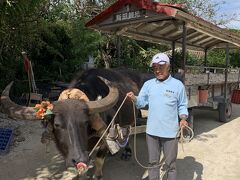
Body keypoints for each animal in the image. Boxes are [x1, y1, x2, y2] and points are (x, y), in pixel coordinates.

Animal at [0, 68, 144, 179]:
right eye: (57, 125)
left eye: (85, 122)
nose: (79, 157)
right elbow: (80, 168)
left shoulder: (106, 135)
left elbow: (98, 160)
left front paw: (97, 175)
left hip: (132, 119)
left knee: (128, 133)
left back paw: (127, 152)